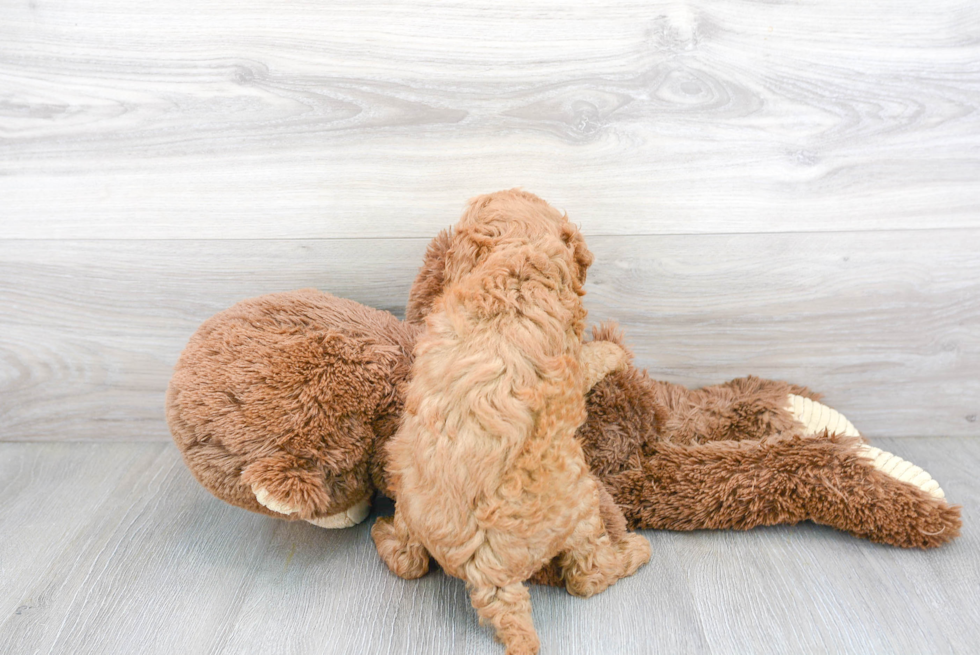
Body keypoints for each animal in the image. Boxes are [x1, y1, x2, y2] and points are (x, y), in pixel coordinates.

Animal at [374, 190, 652, 655]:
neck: (518, 257)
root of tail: (489, 577)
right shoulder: (573, 360)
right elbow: (593, 358)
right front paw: (614, 350)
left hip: (406, 490)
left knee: (407, 561)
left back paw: (382, 535)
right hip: (581, 505)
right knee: (588, 576)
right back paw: (635, 550)